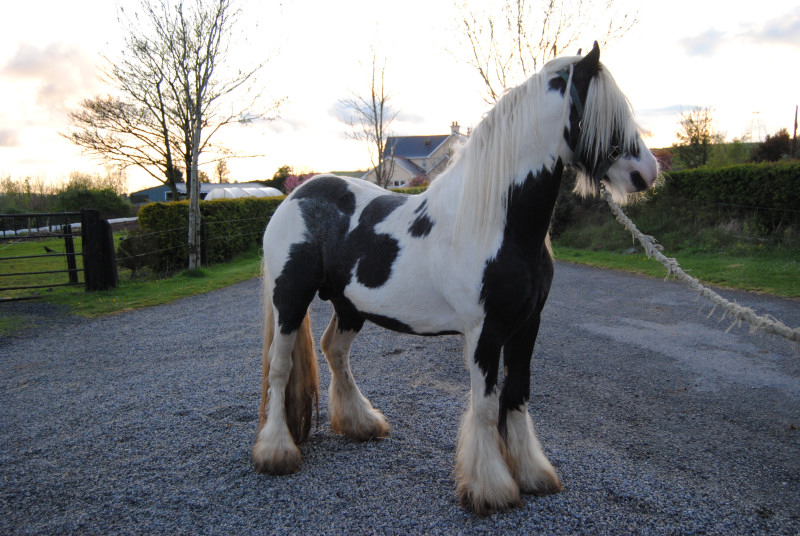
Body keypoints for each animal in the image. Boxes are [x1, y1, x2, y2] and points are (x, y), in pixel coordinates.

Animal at [253, 43, 660, 516]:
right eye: (606, 113)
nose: (647, 173)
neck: (498, 225)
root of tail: (296, 196)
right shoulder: (485, 332)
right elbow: (484, 407)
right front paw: (491, 489)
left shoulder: (527, 326)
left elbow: (516, 395)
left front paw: (532, 474)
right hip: (289, 300)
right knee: (279, 368)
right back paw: (277, 452)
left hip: (349, 305)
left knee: (333, 350)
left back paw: (361, 423)